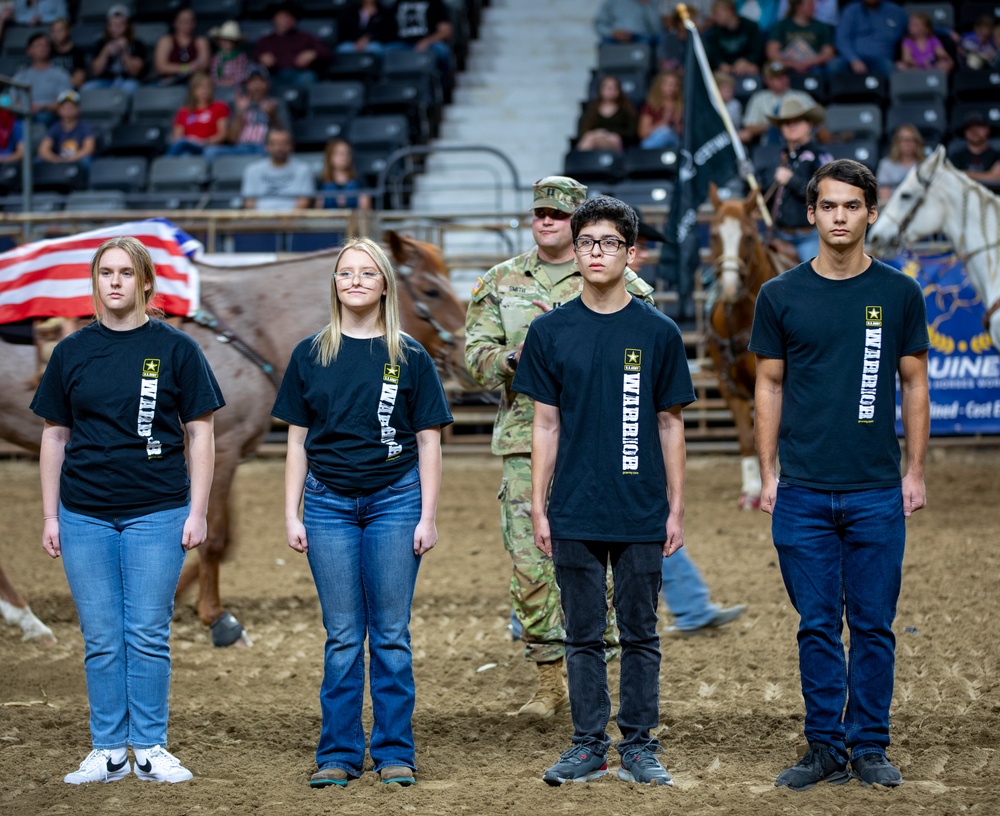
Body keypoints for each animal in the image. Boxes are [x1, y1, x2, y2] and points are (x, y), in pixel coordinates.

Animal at [0, 228, 468, 644]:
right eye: (431, 291)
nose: (466, 356)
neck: (248, 324)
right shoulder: (221, 448)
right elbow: (215, 537)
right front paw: (217, 618)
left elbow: (215, 536)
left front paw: (177, 596)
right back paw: (26, 618)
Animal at [704, 182, 796, 506]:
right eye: (714, 234)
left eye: (747, 236)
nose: (730, 288)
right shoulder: (726, 384)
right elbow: (746, 435)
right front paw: (751, 490)